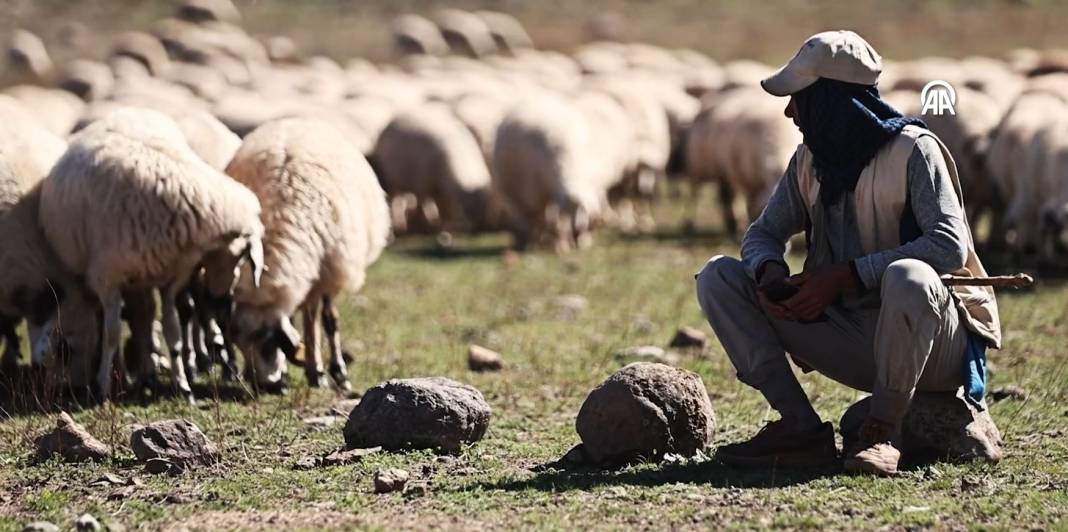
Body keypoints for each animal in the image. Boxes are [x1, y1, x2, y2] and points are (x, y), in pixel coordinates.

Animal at [38, 106, 264, 403]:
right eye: (240, 256)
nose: (222, 300)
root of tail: (126, 111)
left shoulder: (171, 278)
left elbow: (173, 332)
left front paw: (183, 385)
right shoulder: (107, 278)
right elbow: (111, 334)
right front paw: (102, 388)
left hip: (144, 273)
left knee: (144, 317)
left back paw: (148, 374)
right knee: (119, 320)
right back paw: (125, 374)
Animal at [225, 118, 393, 393]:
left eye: (267, 344)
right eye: (240, 347)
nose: (266, 386)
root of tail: (293, 119)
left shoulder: (329, 270)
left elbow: (326, 322)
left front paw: (330, 372)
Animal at [373, 103, 497, 235]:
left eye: (486, 205)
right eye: (465, 205)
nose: (478, 228)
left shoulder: (442, 190)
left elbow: (443, 208)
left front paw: (441, 225)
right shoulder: (422, 184)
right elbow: (423, 204)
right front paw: (427, 226)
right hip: (393, 179)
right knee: (396, 200)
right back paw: (400, 226)